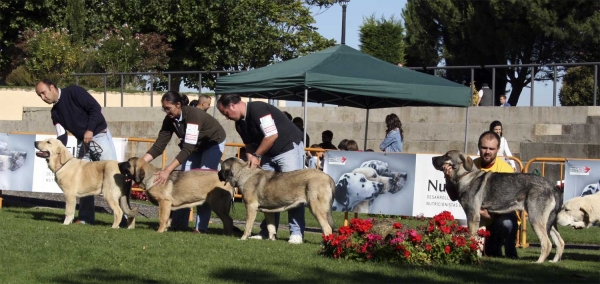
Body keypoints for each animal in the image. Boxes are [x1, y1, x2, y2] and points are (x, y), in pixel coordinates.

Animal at [432, 150, 564, 262]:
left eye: (447, 156)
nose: (432, 158)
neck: (465, 176)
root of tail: (553, 187)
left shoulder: (472, 216)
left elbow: (472, 238)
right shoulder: (480, 219)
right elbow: (479, 241)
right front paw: (476, 257)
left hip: (535, 220)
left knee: (547, 244)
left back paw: (538, 262)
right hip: (548, 222)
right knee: (560, 242)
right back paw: (554, 261)